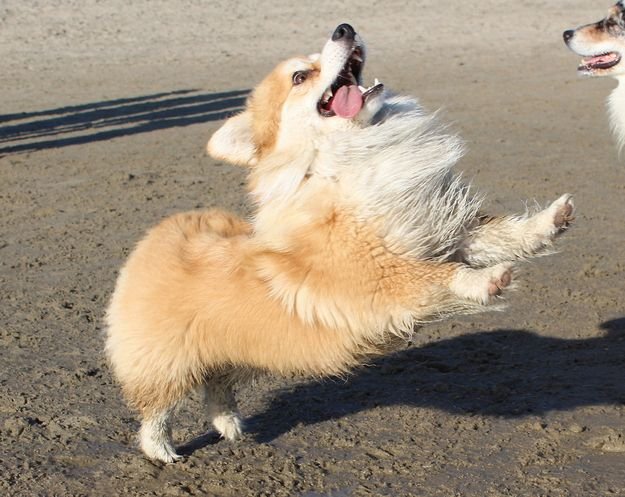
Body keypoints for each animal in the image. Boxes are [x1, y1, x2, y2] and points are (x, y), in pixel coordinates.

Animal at [106, 23, 572, 462]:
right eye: (299, 76)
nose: (343, 28)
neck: (347, 156)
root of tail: (160, 234)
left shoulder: (440, 230)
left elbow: (502, 234)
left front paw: (550, 221)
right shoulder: (377, 276)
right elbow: (438, 275)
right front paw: (487, 281)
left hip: (239, 354)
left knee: (217, 388)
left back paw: (232, 427)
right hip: (168, 363)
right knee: (156, 410)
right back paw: (162, 451)